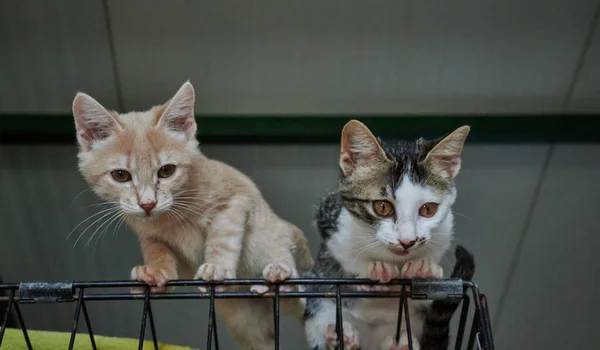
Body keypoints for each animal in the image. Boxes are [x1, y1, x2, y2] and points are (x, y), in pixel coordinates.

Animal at [71, 80, 314, 348]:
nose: (148, 204)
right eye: (120, 175)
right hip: (247, 321)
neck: (169, 218)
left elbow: (223, 237)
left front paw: (217, 267)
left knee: (299, 303)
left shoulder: (235, 199)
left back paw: (282, 283)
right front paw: (155, 273)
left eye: (166, 171)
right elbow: (156, 250)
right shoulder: (147, 232)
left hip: (272, 247)